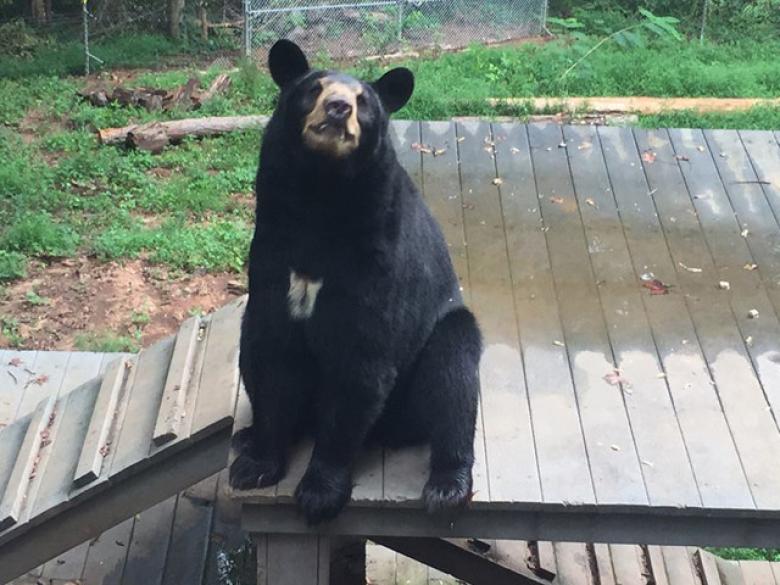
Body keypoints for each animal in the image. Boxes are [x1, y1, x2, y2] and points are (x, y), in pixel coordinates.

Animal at [229, 39, 483, 525]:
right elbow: (272, 354)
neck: (321, 194)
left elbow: (361, 362)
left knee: (454, 379)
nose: (339, 107)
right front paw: (255, 465)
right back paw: (245, 436)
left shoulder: (375, 260)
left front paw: (319, 491)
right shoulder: (272, 252)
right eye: (314, 87)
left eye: (364, 100)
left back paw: (447, 484)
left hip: (442, 339)